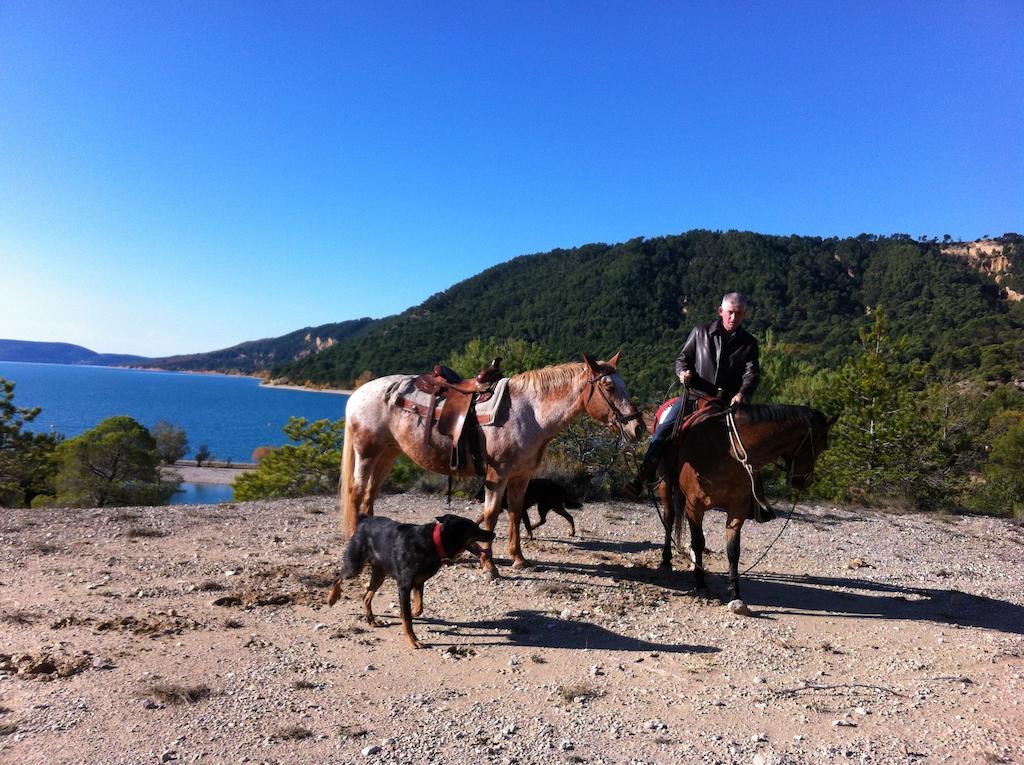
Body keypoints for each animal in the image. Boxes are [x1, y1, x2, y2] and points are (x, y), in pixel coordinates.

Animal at [325, 512, 489, 651]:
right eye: (474, 528)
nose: (492, 534)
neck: (434, 542)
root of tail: (364, 520)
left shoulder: (418, 582)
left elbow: (417, 608)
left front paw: (404, 614)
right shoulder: (404, 586)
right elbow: (408, 618)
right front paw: (412, 640)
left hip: (379, 574)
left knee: (366, 596)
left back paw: (371, 620)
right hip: (355, 566)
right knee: (338, 577)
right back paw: (332, 598)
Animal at [339, 356, 638, 577]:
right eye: (609, 387)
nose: (637, 427)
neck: (529, 413)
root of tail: (357, 394)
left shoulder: (521, 477)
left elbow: (516, 513)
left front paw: (518, 558)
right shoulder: (498, 474)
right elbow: (492, 514)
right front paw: (489, 565)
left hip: (387, 454)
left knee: (370, 493)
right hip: (367, 452)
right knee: (357, 491)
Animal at [659, 403, 835, 606]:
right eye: (822, 445)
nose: (803, 481)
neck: (726, 450)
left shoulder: (737, 508)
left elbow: (733, 550)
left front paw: (735, 592)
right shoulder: (694, 506)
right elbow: (698, 543)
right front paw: (700, 583)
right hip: (665, 484)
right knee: (669, 518)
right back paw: (665, 560)